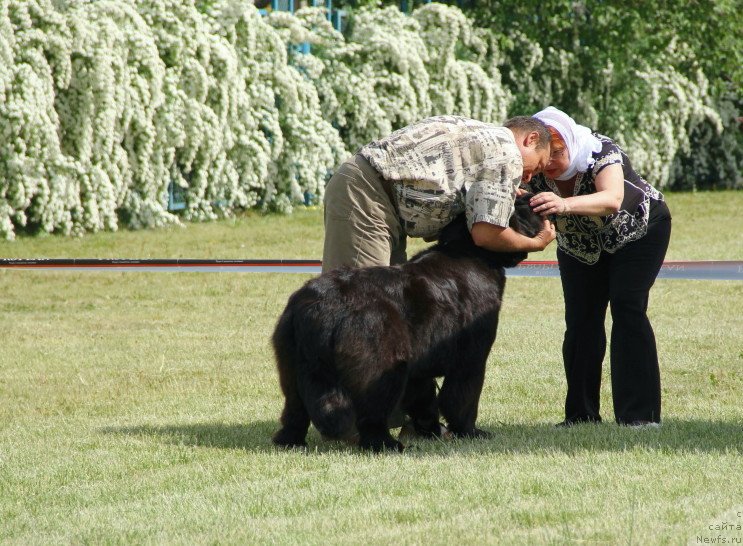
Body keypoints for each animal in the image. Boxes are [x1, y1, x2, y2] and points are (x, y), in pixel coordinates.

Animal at [272, 193, 540, 448]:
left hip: (292, 360)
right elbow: (462, 397)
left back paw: (289, 441)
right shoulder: (471, 356)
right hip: (381, 364)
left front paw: (430, 430)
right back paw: (386, 444)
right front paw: (469, 431)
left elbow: (424, 399)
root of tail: (321, 305)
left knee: (295, 410)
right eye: (519, 202)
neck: (470, 251)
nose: (533, 197)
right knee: (371, 412)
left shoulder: (418, 366)